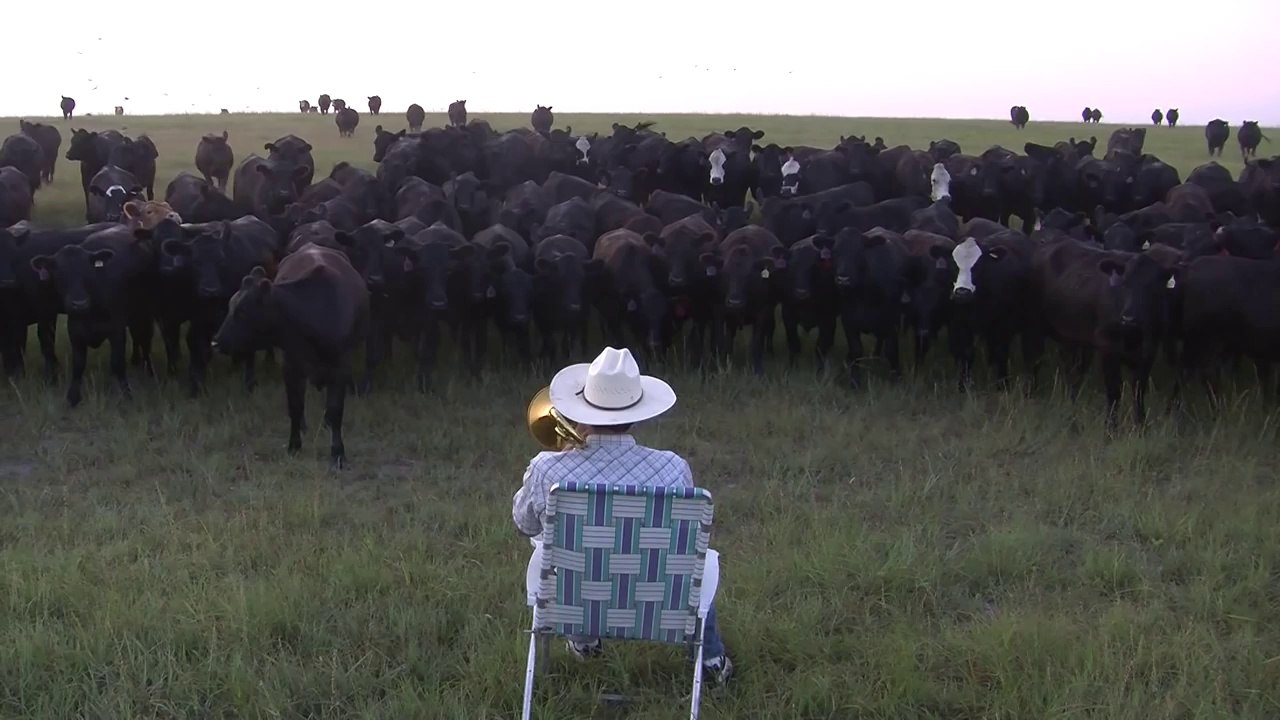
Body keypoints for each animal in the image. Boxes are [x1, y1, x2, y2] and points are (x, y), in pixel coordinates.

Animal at [211, 245, 369, 469]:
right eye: (230, 306)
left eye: (242, 312)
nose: (215, 342)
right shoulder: (292, 367)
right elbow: (294, 406)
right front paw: (294, 446)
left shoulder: (340, 368)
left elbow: (335, 409)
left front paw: (338, 452)